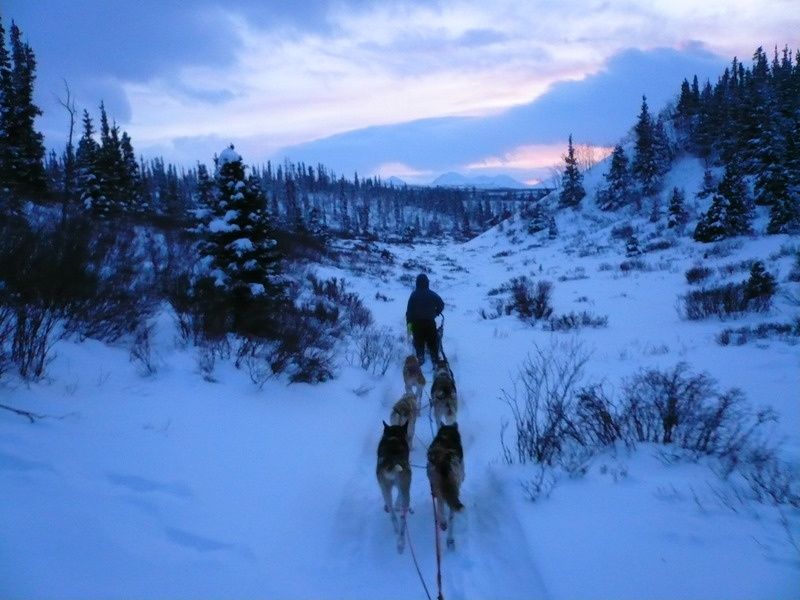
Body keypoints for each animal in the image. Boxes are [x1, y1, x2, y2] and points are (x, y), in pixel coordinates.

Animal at [376, 420, 410, 552]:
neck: (393, 437)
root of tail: (392, 462)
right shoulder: (402, 488)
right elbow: (398, 496)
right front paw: (397, 504)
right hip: (406, 492)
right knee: (402, 519)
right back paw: (401, 542)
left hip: (385, 491)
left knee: (392, 515)